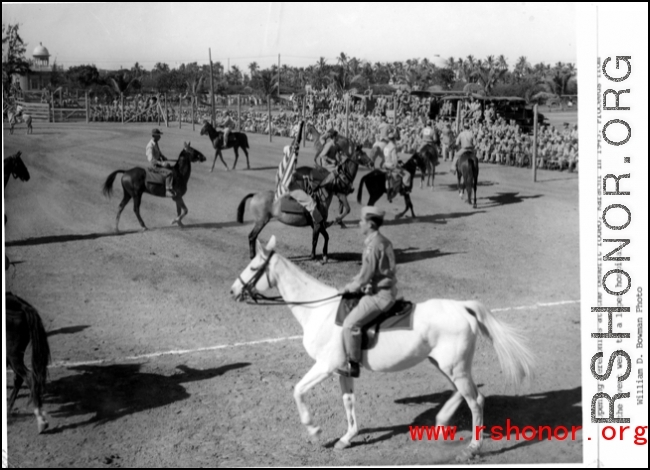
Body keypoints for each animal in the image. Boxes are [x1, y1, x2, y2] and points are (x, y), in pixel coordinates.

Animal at [230, 237, 536, 460]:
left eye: (254, 268)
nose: (233, 291)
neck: (320, 310)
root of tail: (462, 307)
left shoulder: (325, 366)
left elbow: (298, 391)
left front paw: (315, 430)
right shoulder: (343, 370)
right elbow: (348, 403)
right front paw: (346, 438)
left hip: (455, 368)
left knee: (476, 401)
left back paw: (473, 448)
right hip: (445, 365)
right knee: (464, 394)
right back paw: (441, 421)